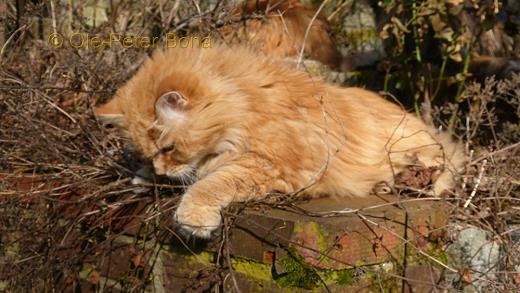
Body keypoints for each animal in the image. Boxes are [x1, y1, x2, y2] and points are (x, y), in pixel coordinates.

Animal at [94, 44, 464, 240]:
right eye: (150, 152)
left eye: (168, 148)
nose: (160, 168)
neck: (244, 102)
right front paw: (145, 175)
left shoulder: (266, 165)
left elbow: (209, 183)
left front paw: (193, 217)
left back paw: (401, 182)